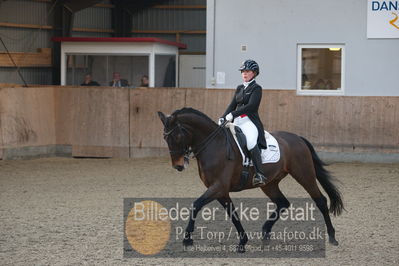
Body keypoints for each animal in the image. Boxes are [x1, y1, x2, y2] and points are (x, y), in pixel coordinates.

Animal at [158, 107, 346, 252]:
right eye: (165, 138)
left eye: (177, 136)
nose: (178, 166)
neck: (214, 144)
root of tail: (298, 138)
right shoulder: (221, 191)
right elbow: (233, 214)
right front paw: (243, 242)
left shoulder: (218, 187)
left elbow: (196, 205)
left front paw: (187, 239)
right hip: (269, 184)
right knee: (283, 203)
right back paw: (265, 232)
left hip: (304, 174)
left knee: (320, 200)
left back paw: (332, 237)